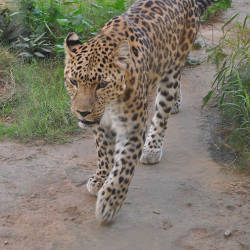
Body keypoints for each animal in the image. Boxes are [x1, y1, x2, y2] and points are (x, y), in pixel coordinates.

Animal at [64, 0, 217, 224]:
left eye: (102, 84)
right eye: (73, 81)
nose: (82, 112)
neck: (110, 104)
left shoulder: (132, 129)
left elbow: (123, 168)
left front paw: (109, 203)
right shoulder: (100, 125)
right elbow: (104, 153)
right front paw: (100, 178)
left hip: (173, 67)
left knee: (162, 112)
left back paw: (153, 147)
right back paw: (177, 102)